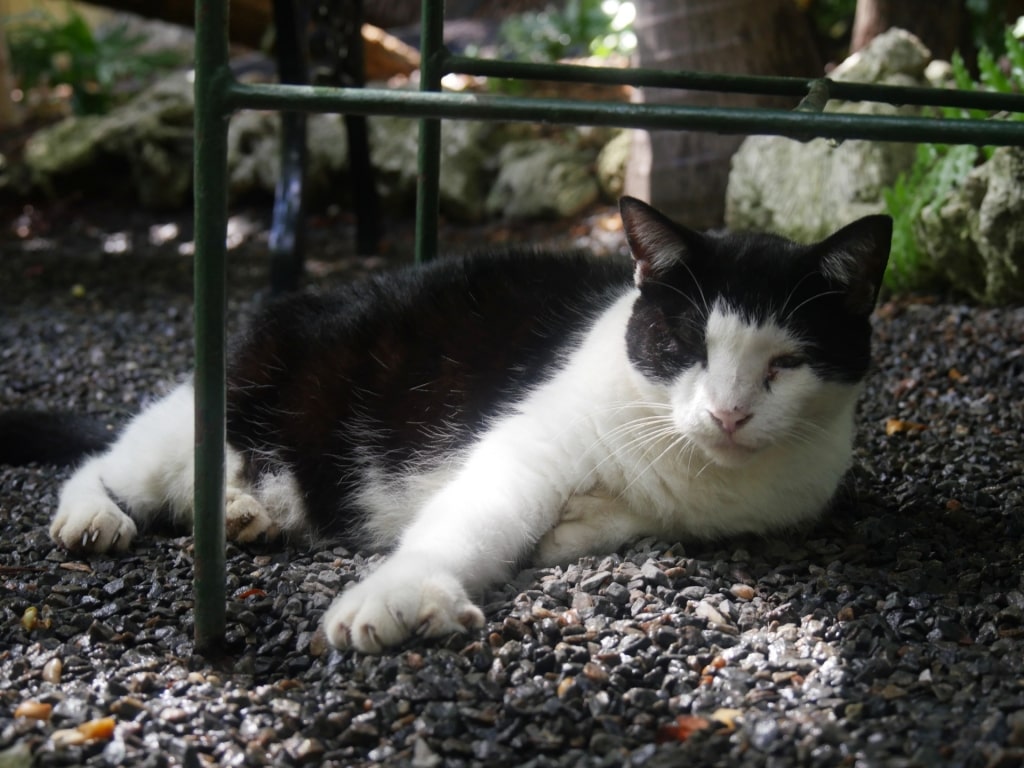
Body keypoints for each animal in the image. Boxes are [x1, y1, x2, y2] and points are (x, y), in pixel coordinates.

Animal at [4, 198, 892, 655]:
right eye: (687, 347)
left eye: (786, 364)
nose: (729, 413)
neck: (700, 474)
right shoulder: (522, 449)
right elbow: (472, 520)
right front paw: (400, 596)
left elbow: (610, 517)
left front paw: (571, 529)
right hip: (220, 405)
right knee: (108, 458)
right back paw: (94, 517)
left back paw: (244, 511)